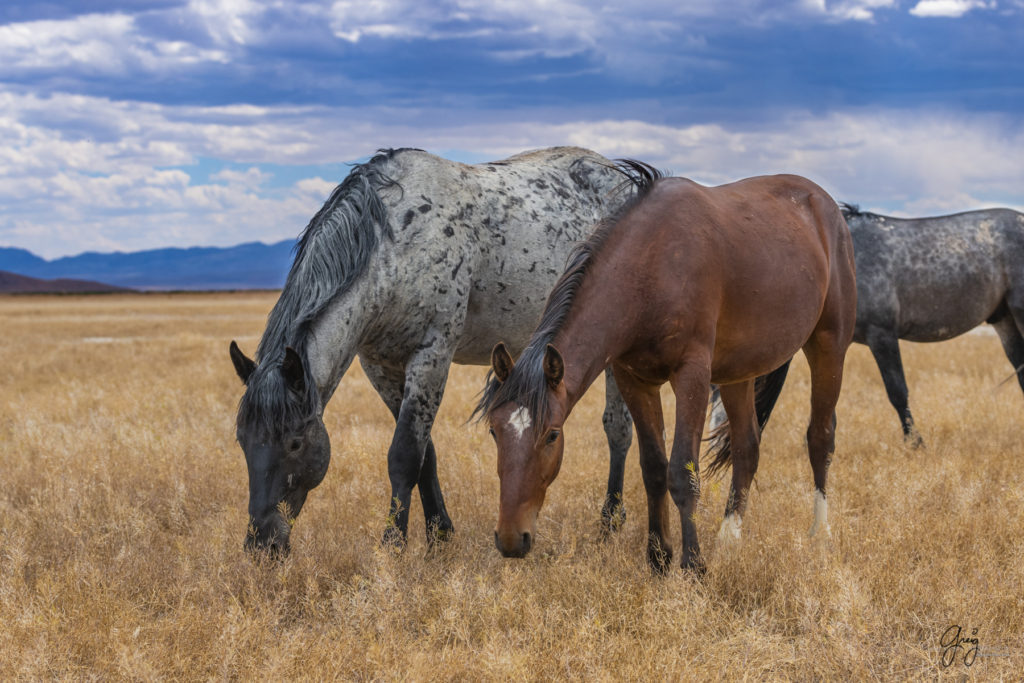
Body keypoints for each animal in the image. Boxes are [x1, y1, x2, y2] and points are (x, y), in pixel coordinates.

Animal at [227, 145, 634, 557]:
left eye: (294, 443)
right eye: (242, 440)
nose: (260, 543)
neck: (393, 244)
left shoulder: (432, 355)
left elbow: (404, 455)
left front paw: (393, 545)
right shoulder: (381, 366)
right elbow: (426, 455)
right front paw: (439, 535)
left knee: (617, 428)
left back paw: (610, 522)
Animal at [477, 160, 856, 573]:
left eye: (552, 435)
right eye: (495, 431)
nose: (511, 539)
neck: (651, 266)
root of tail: (824, 203)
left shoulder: (692, 377)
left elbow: (681, 471)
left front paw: (693, 565)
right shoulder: (634, 381)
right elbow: (654, 468)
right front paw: (658, 556)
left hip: (828, 346)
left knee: (821, 437)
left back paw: (820, 535)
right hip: (738, 373)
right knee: (747, 447)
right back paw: (729, 540)